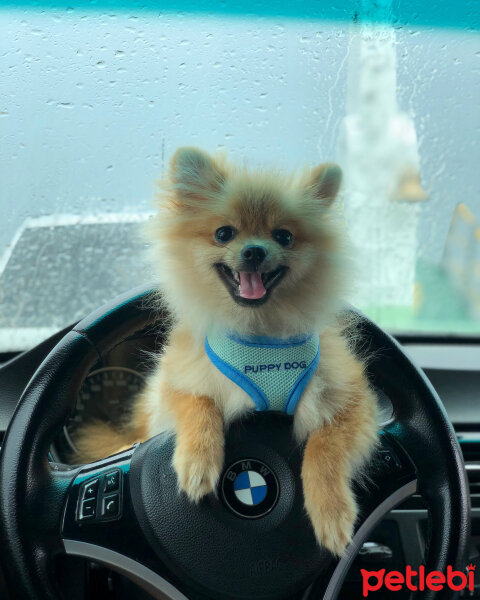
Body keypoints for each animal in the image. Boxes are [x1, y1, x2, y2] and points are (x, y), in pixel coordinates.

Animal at [74, 148, 378, 556]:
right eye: (224, 233)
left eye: (284, 236)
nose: (254, 250)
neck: (259, 336)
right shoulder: (174, 383)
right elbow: (198, 402)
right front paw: (197, 459)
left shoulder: (352, 400)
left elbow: (324, 448)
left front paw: (331, 510)